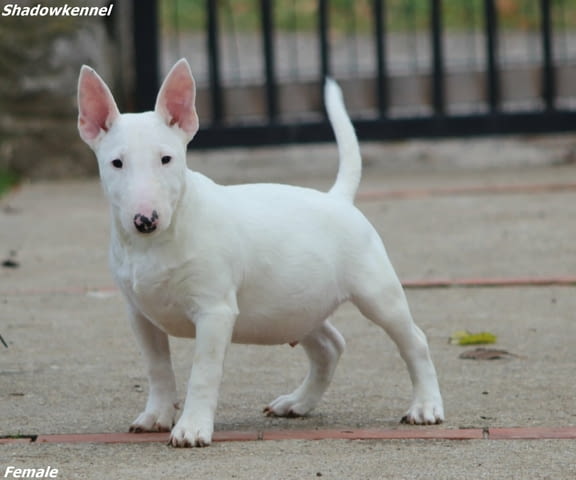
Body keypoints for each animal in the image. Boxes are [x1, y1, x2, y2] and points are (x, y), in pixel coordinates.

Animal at [76, 59, 446, 446]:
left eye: (166, 159)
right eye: (116, 163)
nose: (145, 220)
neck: (156, 242)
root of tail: (338, 198)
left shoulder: (214, 311)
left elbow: (203, 374)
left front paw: (191, 428)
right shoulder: (140, 315)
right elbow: (158, 368)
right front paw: (156, 416)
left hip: (377, 293)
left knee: (414, 341)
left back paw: (426, 407)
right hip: (295, 304)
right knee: (330, 346)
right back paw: (297, 403)